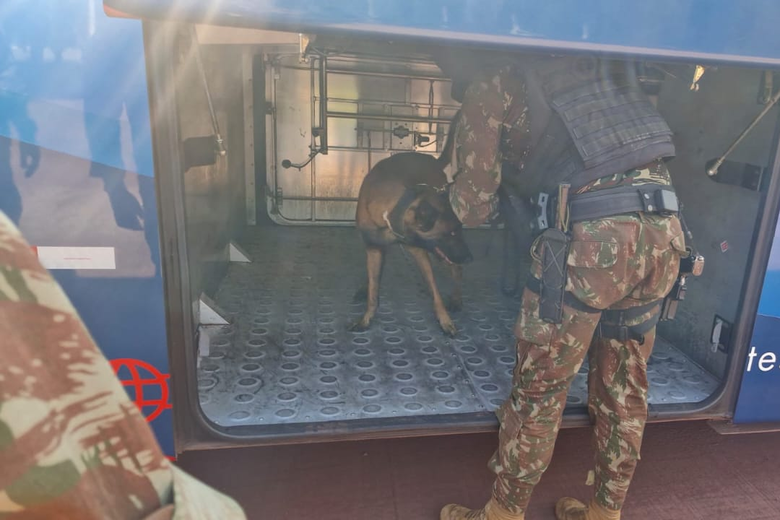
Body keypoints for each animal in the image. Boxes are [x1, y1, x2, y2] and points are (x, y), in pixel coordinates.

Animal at [351, 147, 473, 337]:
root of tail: (434, 160)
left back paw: (456, 299)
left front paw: (445, 321)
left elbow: (435, 292)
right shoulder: (374, 248)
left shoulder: (419, 252)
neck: (389, 212)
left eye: (459, 229)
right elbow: (373, 291)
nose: (469, 258)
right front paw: (366, 318)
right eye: (451, 232)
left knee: (456, 270)